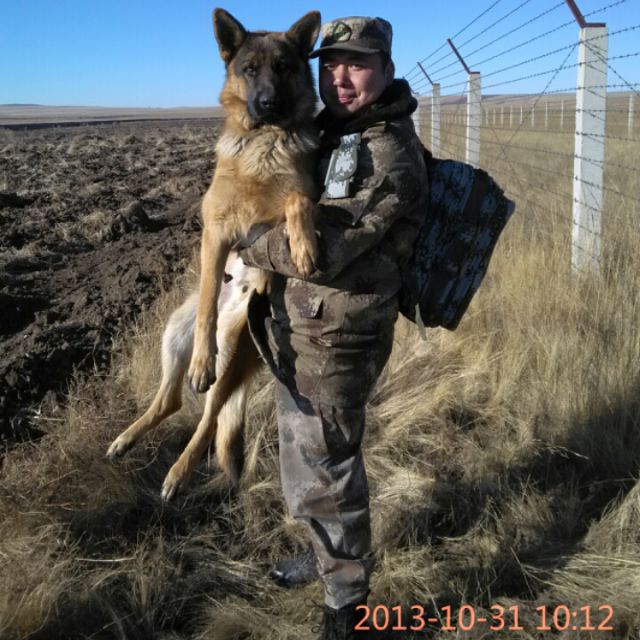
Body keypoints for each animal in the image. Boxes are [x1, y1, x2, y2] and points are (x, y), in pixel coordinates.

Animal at [106, 8, 321, 500]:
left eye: (285, 67)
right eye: (250, 69)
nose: (266, 104)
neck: (262, 147)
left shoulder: (287, 207)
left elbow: (298, 200)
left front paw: (304, 246)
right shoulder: (217, 234)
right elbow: (206, 297)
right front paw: (200, 359)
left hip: (234, 348)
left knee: (208, 420)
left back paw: (178, 472)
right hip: (175, 333)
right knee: (172, 399)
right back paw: (129, 439)